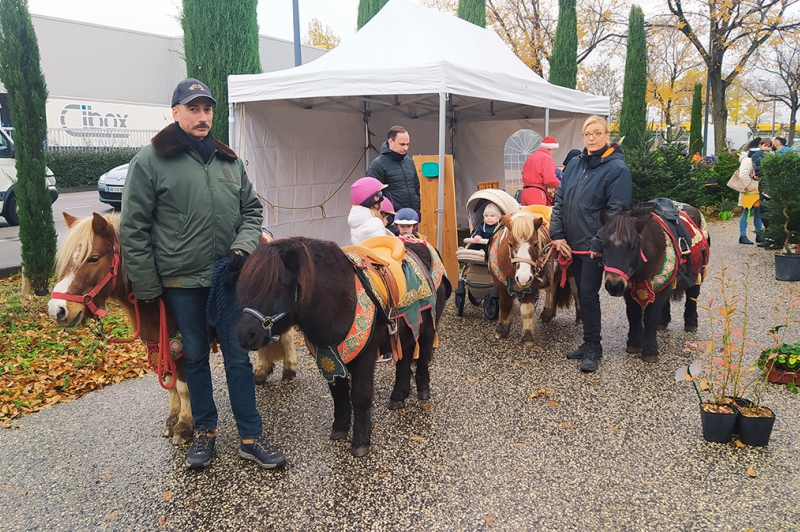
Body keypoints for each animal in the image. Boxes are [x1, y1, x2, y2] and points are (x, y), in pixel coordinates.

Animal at [47, 212, 296, 444]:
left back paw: (289, 371)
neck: (158, 300)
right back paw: (261, 371)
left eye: (94, 258)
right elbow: (170, 384)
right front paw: (172, 419)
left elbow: (184, 387)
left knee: (286, 337)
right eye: (66, 261)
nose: (57, 309)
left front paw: (184, 425)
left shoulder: (183, 346)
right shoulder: (160, 344)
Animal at [236, 237, 450, 458]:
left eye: (278, 289)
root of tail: (423, 244)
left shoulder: (365, 357)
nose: (245, 335)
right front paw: (340, 428)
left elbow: (360, 396)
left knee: (423, 357)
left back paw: (423, 391)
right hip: (405, 331)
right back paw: (398, 395)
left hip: (428, 329)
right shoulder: (328, 358)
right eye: (246, 288)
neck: (338, 301)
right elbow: (338, 394)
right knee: (405, 359)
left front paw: (361, 440)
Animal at [488, 210, 576, 348]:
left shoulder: (532, 287)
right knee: (551, 289)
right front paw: (501, 330)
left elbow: (527, 311)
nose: (523, 278)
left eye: (535, 244)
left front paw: (527, 336)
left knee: (577, 291)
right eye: (510, 244)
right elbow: (505, 305)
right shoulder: (501, 286)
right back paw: (547, 314)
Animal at [596, 202, 708, 364]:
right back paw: (663, 321)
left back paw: (691, 322)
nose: (614, 285)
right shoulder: (629, 292)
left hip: (697, 271)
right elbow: (634, 315)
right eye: (604, 245)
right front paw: (634, 344)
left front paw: (649, 350)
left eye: (633, 246)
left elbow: (650, 318)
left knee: (693, 295)